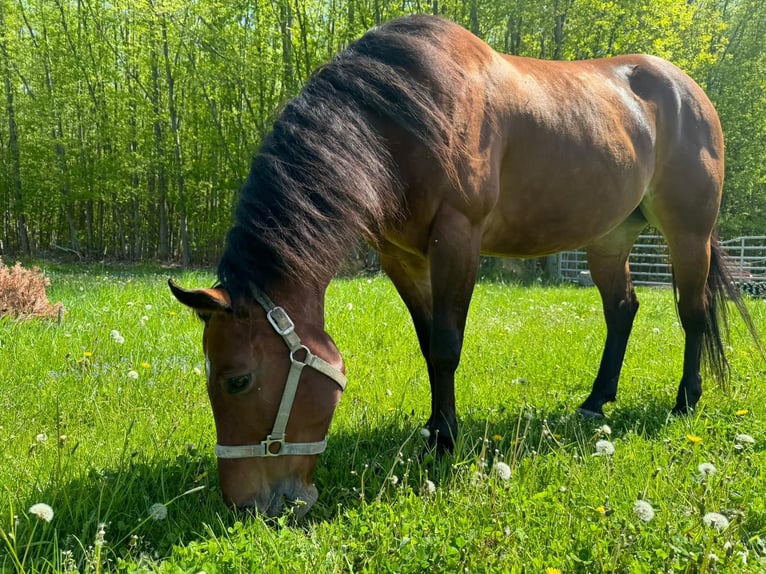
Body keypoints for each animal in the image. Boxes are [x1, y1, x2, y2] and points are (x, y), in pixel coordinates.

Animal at [165, 13, 760, 520]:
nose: (248, 505)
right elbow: (428, 343)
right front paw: (434, 428)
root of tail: (689, 89)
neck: (402, 120)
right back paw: (595, 403)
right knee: (623, 310)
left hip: (688, 233)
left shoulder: (458, 239)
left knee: (692, 312)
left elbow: (448, 345)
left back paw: (685, 402)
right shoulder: (401, 256)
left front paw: (447, 441)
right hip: (610, 238)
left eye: (237, 380)